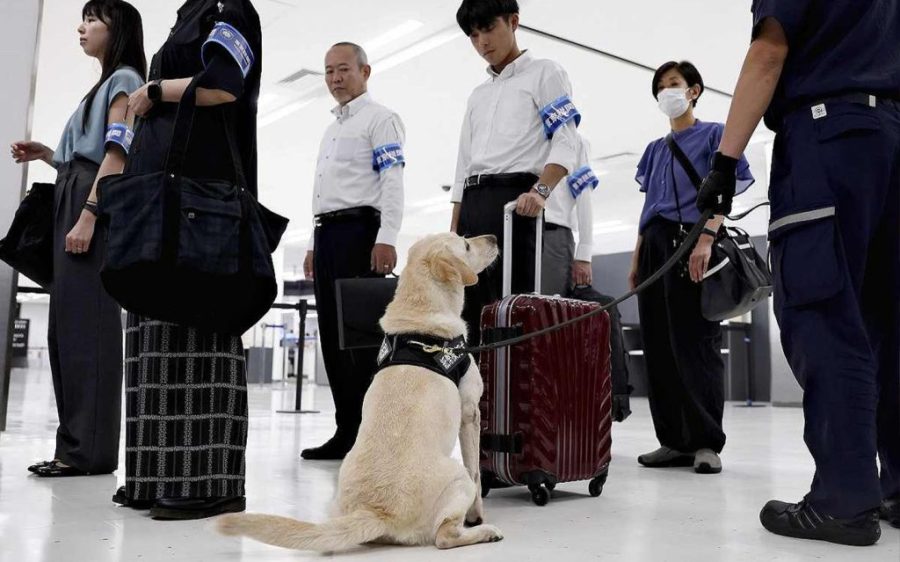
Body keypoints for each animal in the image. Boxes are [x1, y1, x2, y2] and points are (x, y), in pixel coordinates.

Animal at [218, 232, 500, 552]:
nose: (493, 237)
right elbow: (477, 473)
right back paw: (485, 532)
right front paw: (477, 515)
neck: (420, 320)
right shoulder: (470, 413)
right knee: (444, 535)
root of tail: (376, 512)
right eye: (465, 245)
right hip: (456, 477)